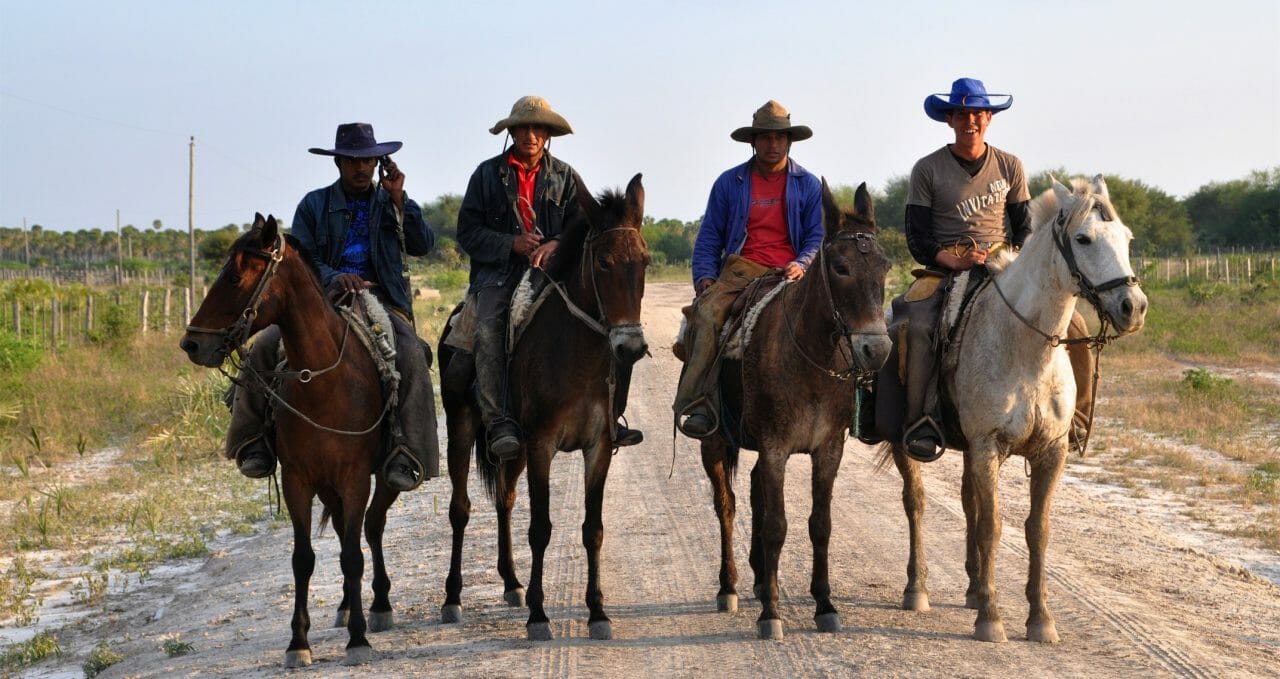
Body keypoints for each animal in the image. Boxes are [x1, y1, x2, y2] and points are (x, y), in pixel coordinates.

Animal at [180, 216, 396, 666]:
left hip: (380, 480)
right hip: (327, 486)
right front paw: (299, 642)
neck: (325, 381)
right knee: (344, 530)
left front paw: (358, 638)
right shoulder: (298, 479)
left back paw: (379, 605)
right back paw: (346, 607)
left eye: (234, 276)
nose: (192, 343)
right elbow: (303, 559)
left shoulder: (355, 478)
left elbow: (353, 556)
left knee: (371, 527)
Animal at [440, 171, 650, 638]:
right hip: (462, 428)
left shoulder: (598, 447)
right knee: (461, 509)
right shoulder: (541, 445)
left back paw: (512, 583)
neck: (576, 354)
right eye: (603, 262)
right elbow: (540, 528)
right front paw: (538, 616)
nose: (630, 347)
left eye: (644, 261)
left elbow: (593, 529)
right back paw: (453, 598)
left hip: (512, 448)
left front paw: (597, 612)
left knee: (504, 498)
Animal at [696, 179, 896, 635]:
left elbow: (819, 525)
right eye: (839, 267)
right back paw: (730, 586)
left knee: (752, 491)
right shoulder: (775, 448)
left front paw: (824, 604)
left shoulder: (828, 450)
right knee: (726, 505)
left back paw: (757, 579)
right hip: (713, 442)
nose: (875, 350)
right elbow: (776, 525)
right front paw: (771, 613)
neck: (809, 359)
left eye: (885, 265)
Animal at [890, 174, 1152, 640]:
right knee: (915, 501)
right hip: (910, 443)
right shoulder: (988, 446)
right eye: (1083, 239)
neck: (1026, 348)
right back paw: (917, 588)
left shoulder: (1049, 452)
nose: (1133, 307)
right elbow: (992, 526)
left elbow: (1036, 529)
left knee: (967, 502)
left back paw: (973, 587)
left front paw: (1040, 619)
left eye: (1126, 238)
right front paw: (991, 618)